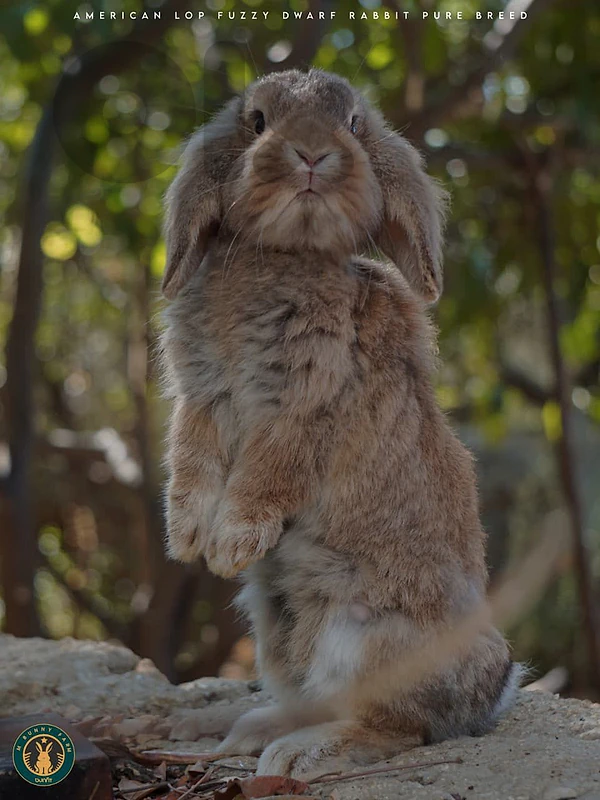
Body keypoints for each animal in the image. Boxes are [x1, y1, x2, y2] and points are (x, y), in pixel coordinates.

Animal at [160, 68, 521, 778]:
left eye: (353, 122)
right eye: (257, 120)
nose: (311, 154)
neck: (284, 253)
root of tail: (490, 692)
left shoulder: (304, 408)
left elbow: (266, 474)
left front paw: (228, 546)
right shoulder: (201, 397)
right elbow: (191, 459)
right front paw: (187, 539)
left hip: (363, 637)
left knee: (395, 727)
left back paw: (299, 755)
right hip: (275, 627)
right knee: (316, 698)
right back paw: (254, 732)